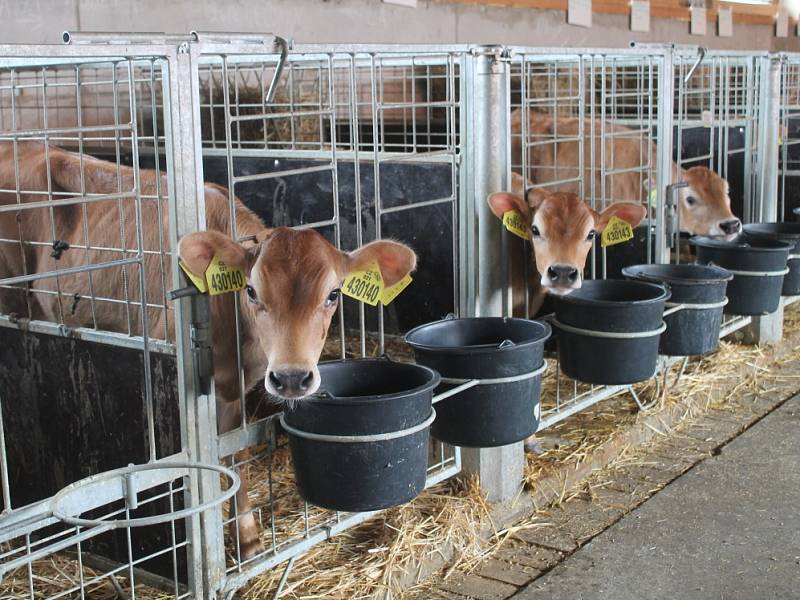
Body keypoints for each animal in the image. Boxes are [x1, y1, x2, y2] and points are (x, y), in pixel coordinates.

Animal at [0, 143, 416, 560]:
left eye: (333, 294)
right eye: (251, 291)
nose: (292, 377)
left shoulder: (236, 388)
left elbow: (234, 451)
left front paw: (247, 538)